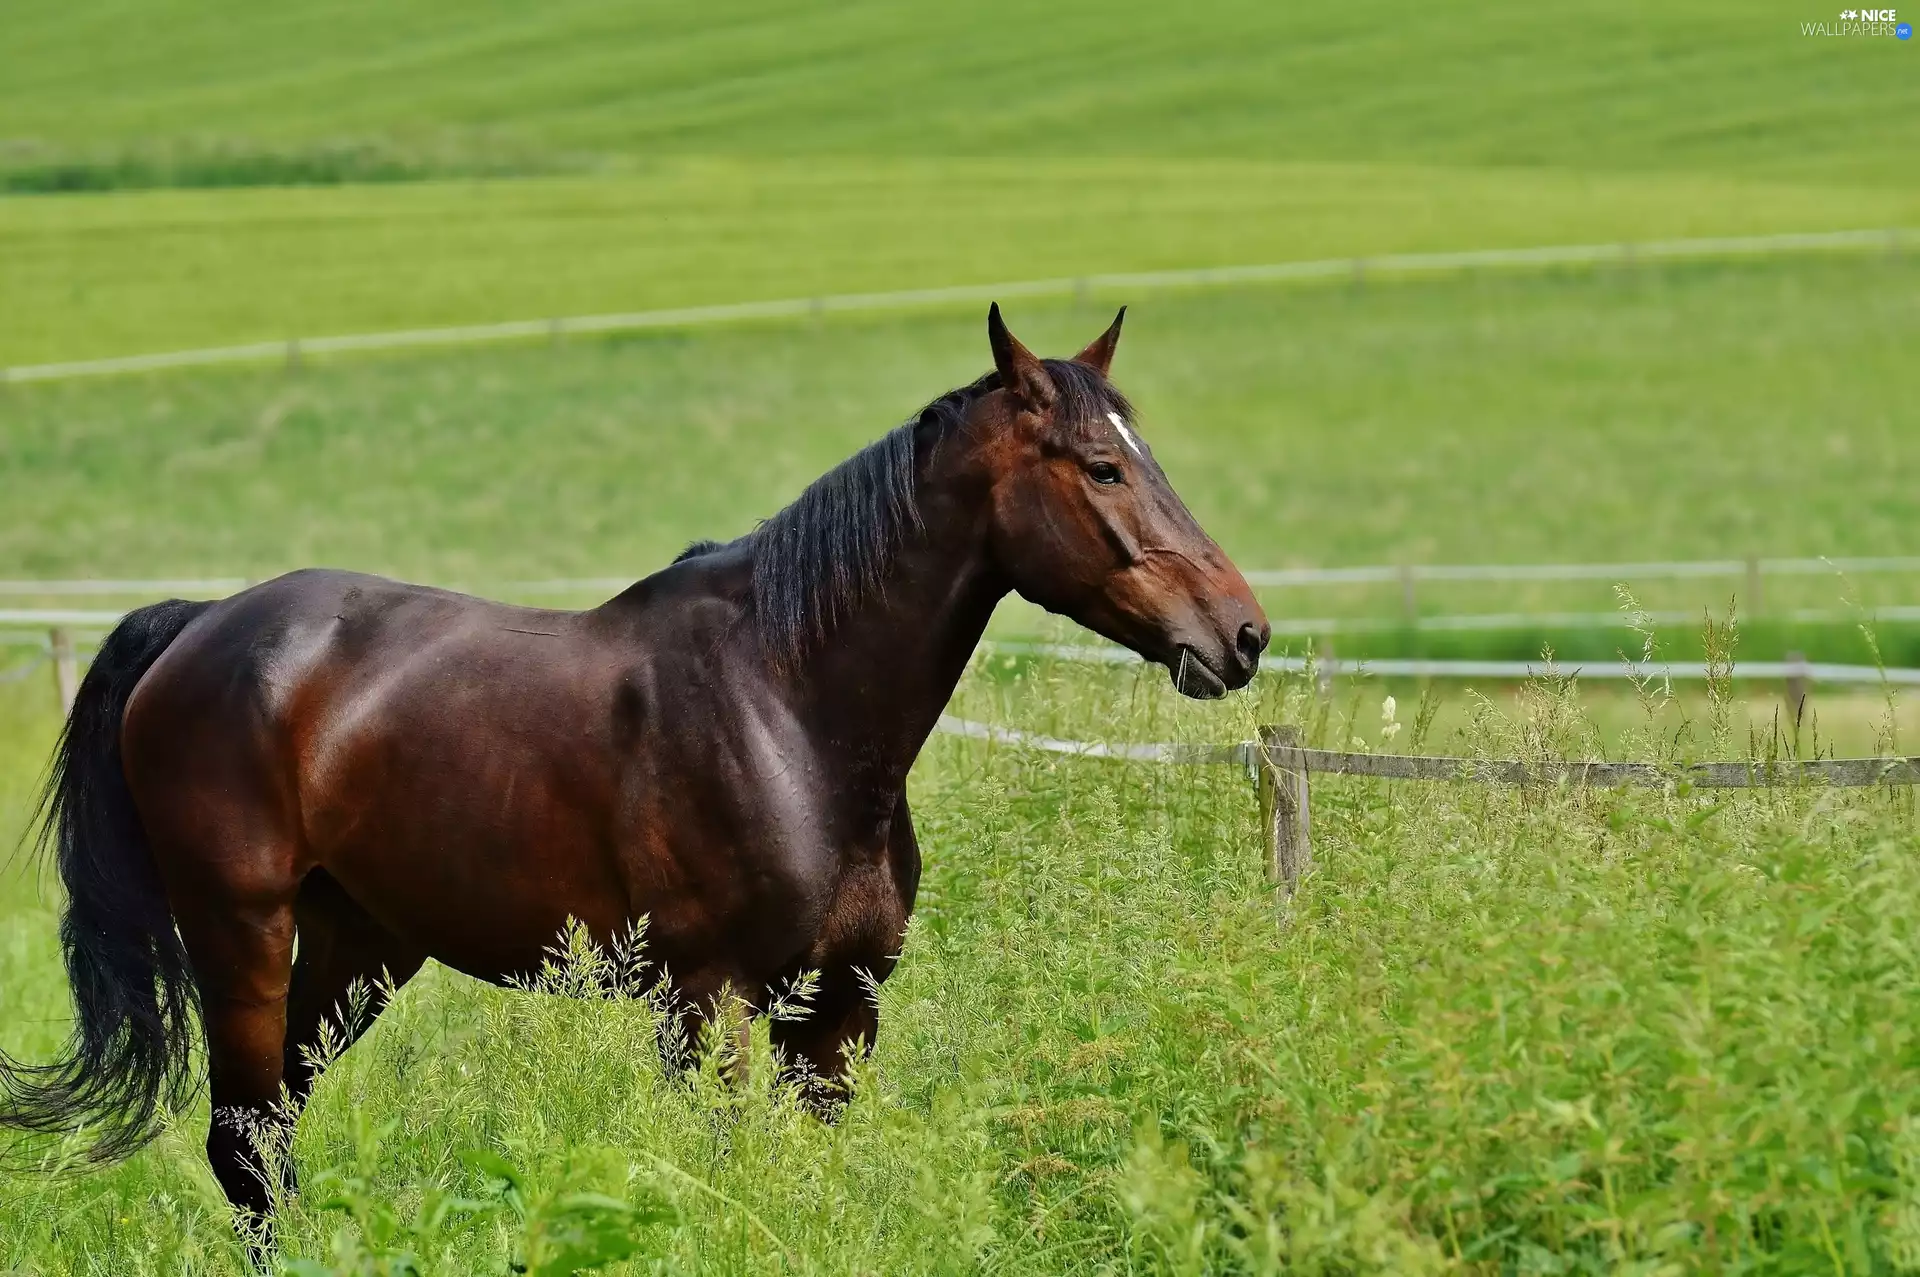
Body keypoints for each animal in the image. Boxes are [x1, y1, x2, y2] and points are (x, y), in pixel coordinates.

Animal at [1, 304, 1269, 1219]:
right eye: (1100, 467)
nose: (1242, 634)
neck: (791, 707)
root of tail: (201, 625)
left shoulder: (840, 1011)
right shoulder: (708, 1002)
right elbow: (727, 1172)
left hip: (362, 948)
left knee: (268, 1138)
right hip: (243, 936)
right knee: (242, 1141)